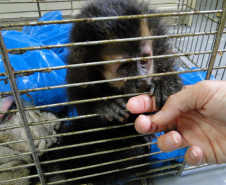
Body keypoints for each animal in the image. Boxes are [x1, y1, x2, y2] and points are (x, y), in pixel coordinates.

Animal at [52, 0, 182, 185]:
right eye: (125, 67)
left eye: (144, 61)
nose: (141, 82)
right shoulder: (80, 67)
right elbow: (82, 107)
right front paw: (105, 106)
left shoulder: (159, 43)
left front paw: (165, 84)